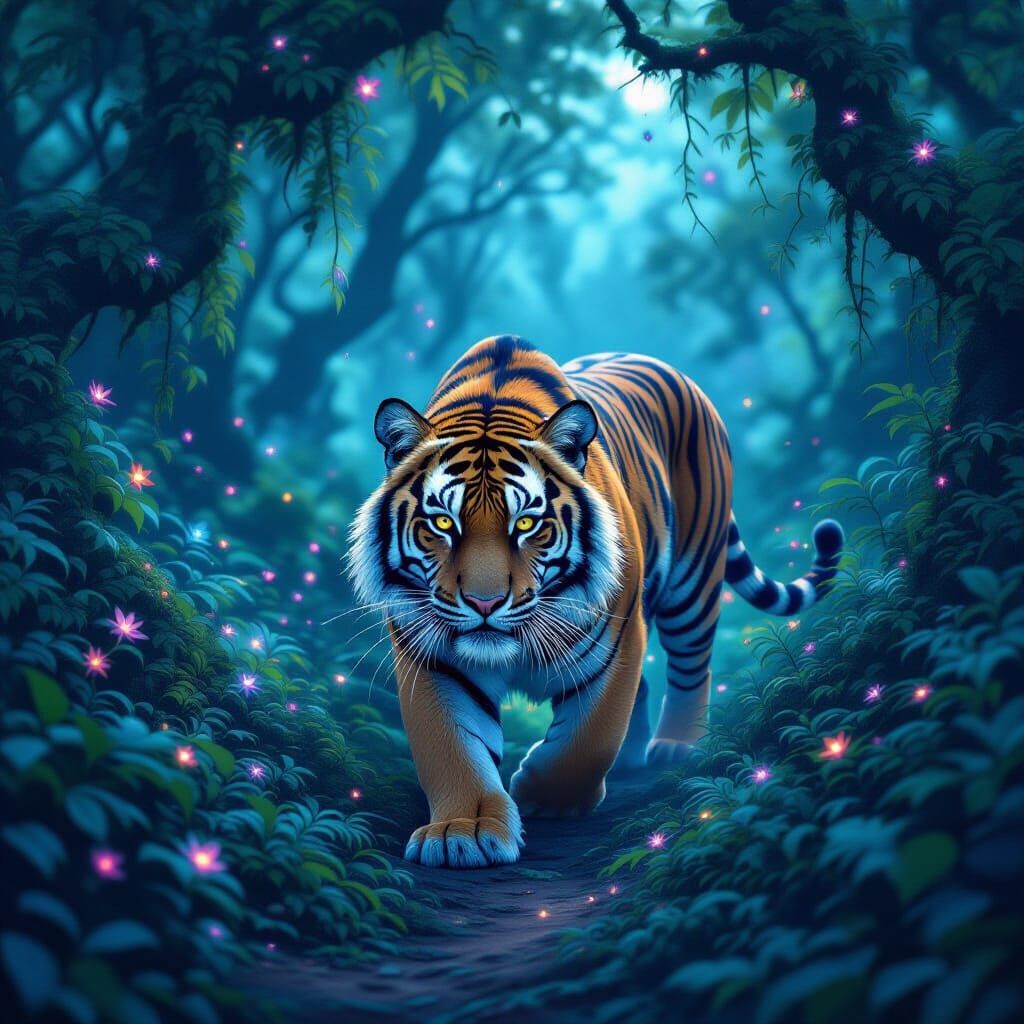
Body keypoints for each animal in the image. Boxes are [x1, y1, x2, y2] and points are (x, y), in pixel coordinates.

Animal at [349, 335, 843, 869]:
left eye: (527, 524)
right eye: (443, 522)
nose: (484, 603)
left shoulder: (617, 637)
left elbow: (589, 737)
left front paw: (548, 797)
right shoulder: (433, 658)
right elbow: (452, 748)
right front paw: (463, 833)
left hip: (692, 579)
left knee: (691, 665)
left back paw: (676, 746)